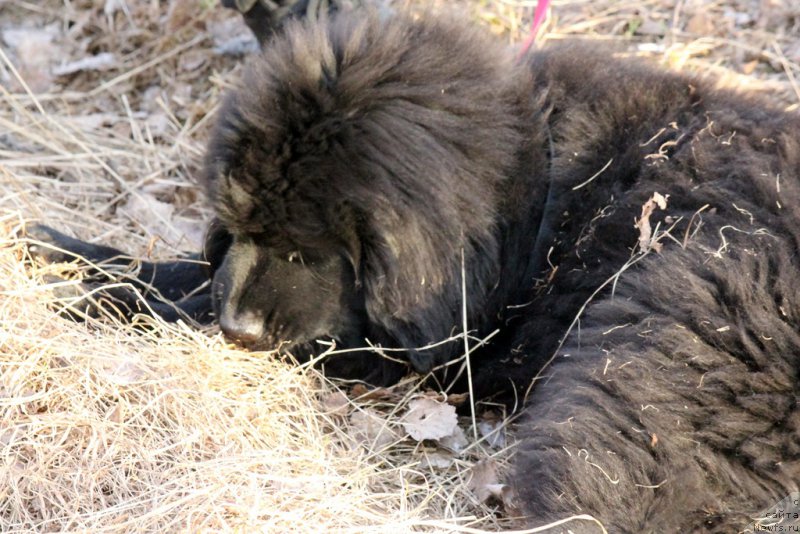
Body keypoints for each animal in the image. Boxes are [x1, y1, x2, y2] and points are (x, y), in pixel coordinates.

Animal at [29, 9, 800, 534]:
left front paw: (96, 296)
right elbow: (188, 270)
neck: (529, 190)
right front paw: (61, 250)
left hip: (665, 333)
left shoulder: (411, 345)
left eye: (307, 249)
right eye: (241, 228)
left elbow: (192, 297)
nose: (239, 329)